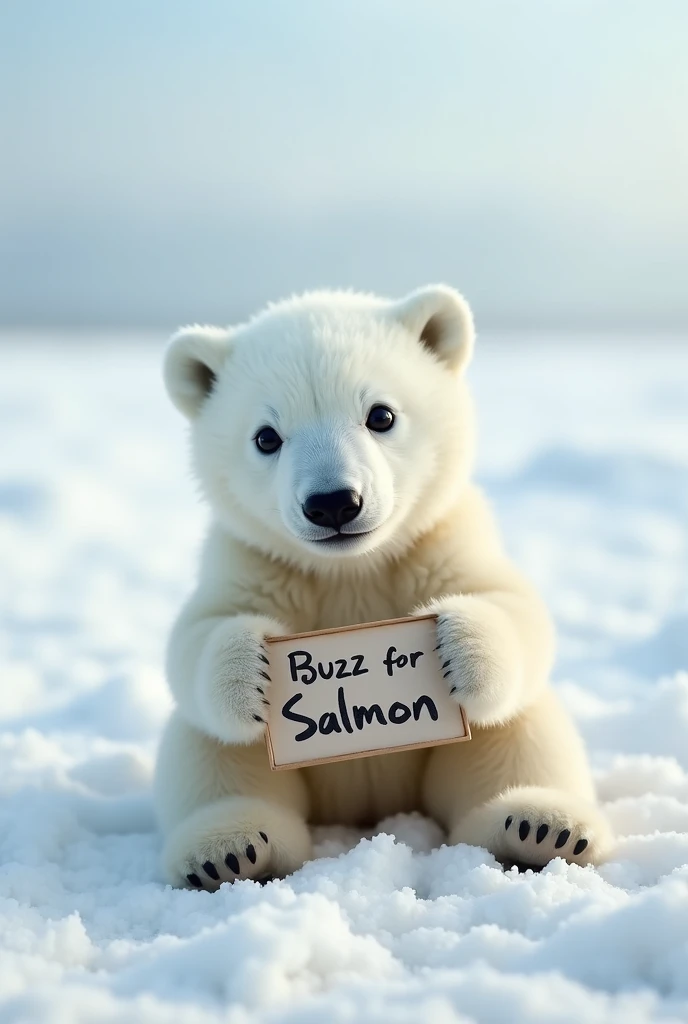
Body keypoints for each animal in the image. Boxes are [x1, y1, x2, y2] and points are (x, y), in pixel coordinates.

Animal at [154, 285, 613, 888]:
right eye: (266, 436)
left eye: (381, 414)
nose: (333, 502)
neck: (353, 567)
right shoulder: (252, 558)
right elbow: (197, 635)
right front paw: (251, 668)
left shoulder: (440, 538)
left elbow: (513, 608)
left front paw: (457, 646)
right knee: (212, 750)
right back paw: (230, 847)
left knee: (520, 731)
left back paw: (539, 825)